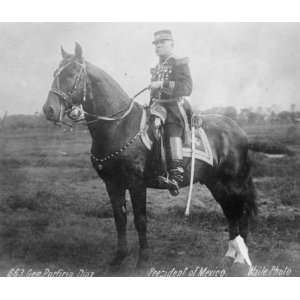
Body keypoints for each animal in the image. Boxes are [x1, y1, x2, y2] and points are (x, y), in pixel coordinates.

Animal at [42, 42, 268, 272]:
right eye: (55, 73)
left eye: (71, 74)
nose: (49, 110)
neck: (119, 125)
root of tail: (239, 130)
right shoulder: (112, 184)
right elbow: (119, 219)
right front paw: (118, 258)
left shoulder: (136, 184)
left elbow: (140, 220)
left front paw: (143, 261)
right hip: (216, 183)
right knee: (230, 212)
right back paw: (230, 256)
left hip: (234, 183)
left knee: (241, 212)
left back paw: (240, 259)